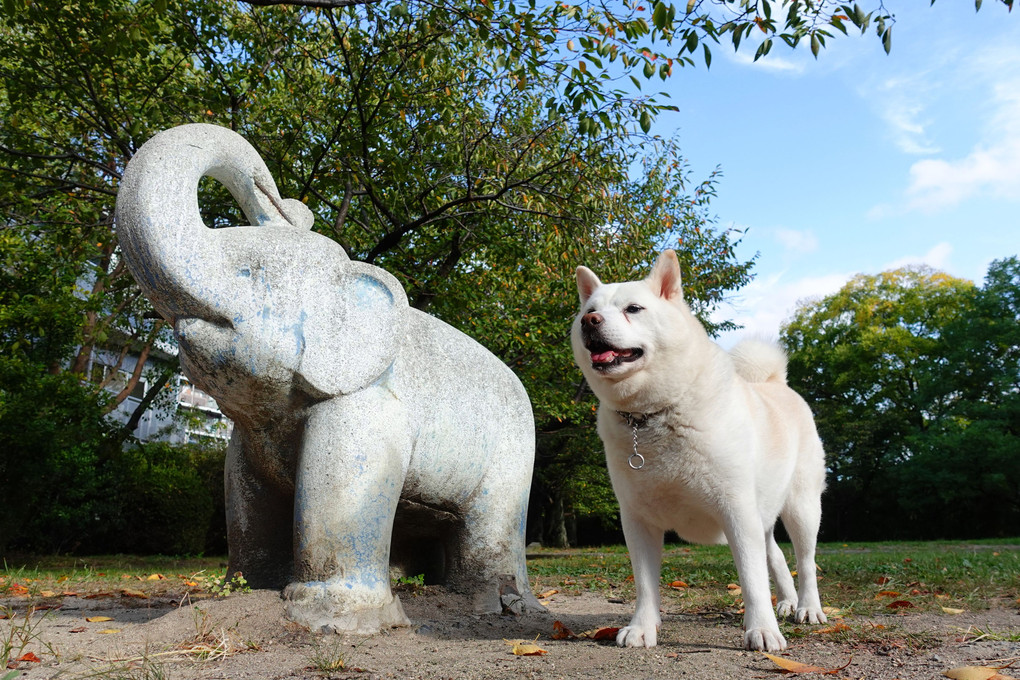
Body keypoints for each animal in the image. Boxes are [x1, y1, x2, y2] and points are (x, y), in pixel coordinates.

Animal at [575, 251, 828, 652]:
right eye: (589, 310)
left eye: (633, 308)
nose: (590, 322)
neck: (652, 416)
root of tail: (776, 383)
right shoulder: (638, 519)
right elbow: (645, 584)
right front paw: (643, 627)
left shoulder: (736, 510)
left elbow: (753, 580)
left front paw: (762, 629)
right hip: (764, 513)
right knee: (774, 554)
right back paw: (787, 602)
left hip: (802, 508)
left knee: (805, 562)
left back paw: (807, 608)